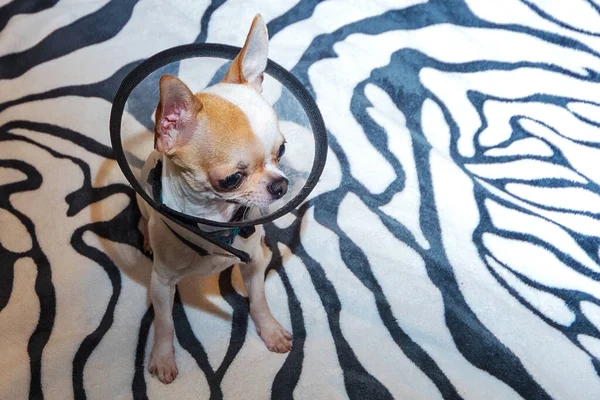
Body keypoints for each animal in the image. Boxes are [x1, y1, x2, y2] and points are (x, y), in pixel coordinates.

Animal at [138, 14, 292, 384]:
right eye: (231, 179)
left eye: (282, 150)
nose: (280, 185)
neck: (215, 221)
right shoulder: (161, 284)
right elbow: (164, 323)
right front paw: (162, 358)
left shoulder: (256, 262)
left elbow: (259, 300)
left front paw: (270, 331)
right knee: (143, 220)